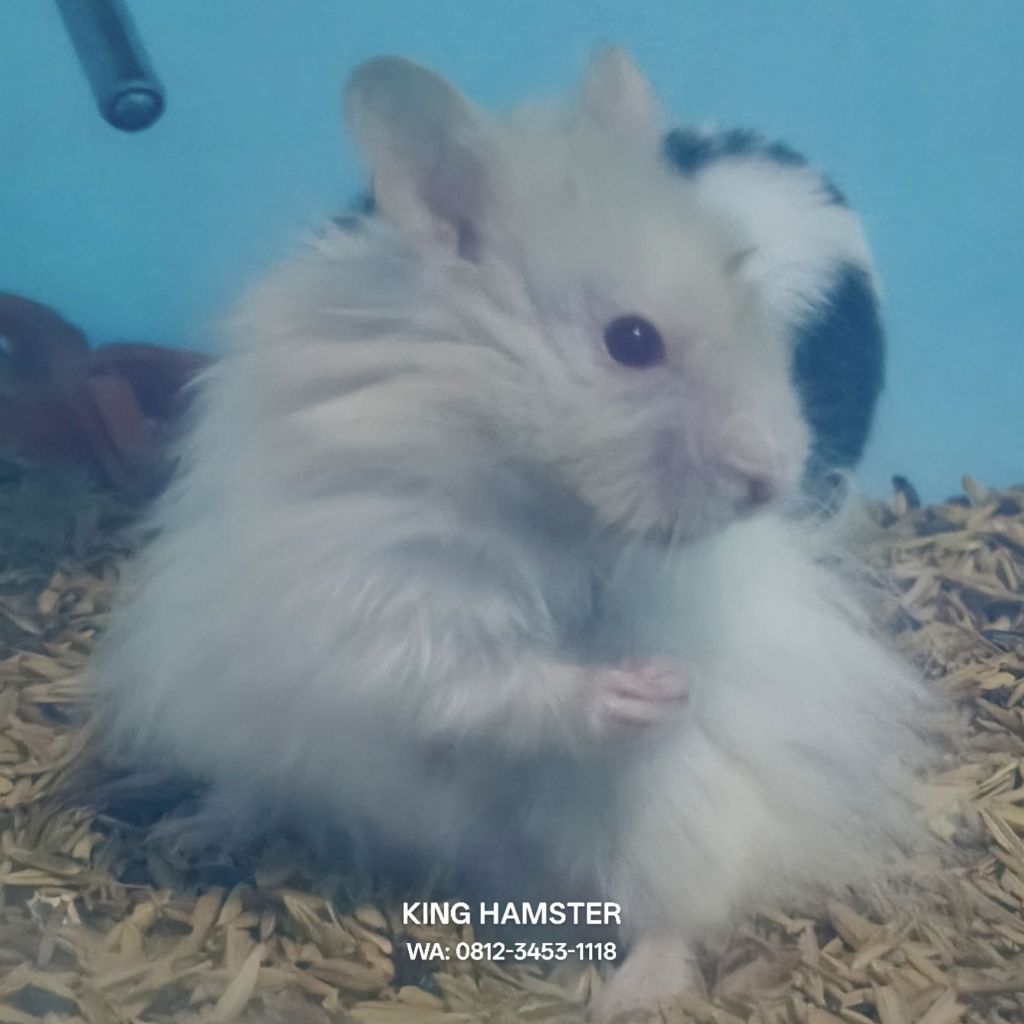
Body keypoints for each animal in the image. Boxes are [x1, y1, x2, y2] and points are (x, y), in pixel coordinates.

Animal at [90, 50, 930, 1018]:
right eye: (630, 341)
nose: (772, 480)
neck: (521, 476)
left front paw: (666, 686)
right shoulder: (384, 606)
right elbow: (481, 680)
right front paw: (637, 691)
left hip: (671, 825)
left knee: (677, 916)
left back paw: (623, 994)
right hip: (247, 728)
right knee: (261, 794)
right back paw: (189, 830)